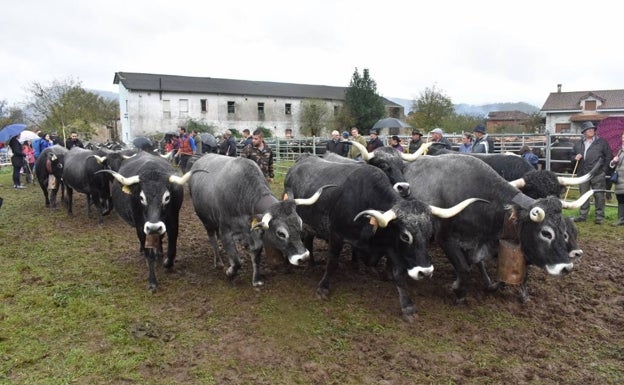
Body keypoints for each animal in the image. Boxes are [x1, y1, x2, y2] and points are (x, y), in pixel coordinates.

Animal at [97, 152, 193, 290]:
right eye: (141, 198)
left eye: (167, 197)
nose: (154, 227)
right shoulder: (141, 227)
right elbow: (149, 254)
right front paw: (152, 281)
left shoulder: (173, 221)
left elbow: (172, 248)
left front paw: (167, 262)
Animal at [188, 153, 330, 284]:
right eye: (281, 233)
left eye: (300, 227)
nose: (303, 257)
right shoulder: (225, 232)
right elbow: (236, 261)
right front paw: (230, 273)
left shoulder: (257, 233)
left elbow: (256, 256)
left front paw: (256, 280)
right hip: (206, 221)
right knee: (212, 239)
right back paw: (218, 262)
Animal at [282, 154, 482, 318]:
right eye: (405, 236)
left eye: (429, 235)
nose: (425, 272)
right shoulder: (336, 235)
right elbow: (332, 263)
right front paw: (323, 288)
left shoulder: (389, 246)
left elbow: (398, 273)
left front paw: (407, 306)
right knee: (308, 240)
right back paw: (311, 264)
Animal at [402, 154, 592, 304]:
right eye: (546, 233)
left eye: (563, 230)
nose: (566, 268)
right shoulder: (446, 240)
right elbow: (464, 268)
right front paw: (458, 291)